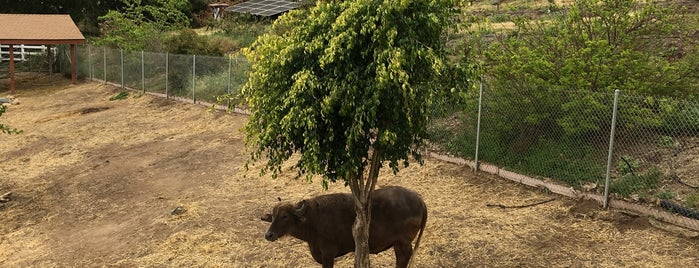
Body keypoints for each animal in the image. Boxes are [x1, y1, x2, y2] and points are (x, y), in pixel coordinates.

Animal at [262, 186, 426, 268]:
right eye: (273, 215)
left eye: (285, 216)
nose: (269, 235)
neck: (313, 220)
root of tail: (419, 199)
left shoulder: (328, 254)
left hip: (402, 243)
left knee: (403, 258)